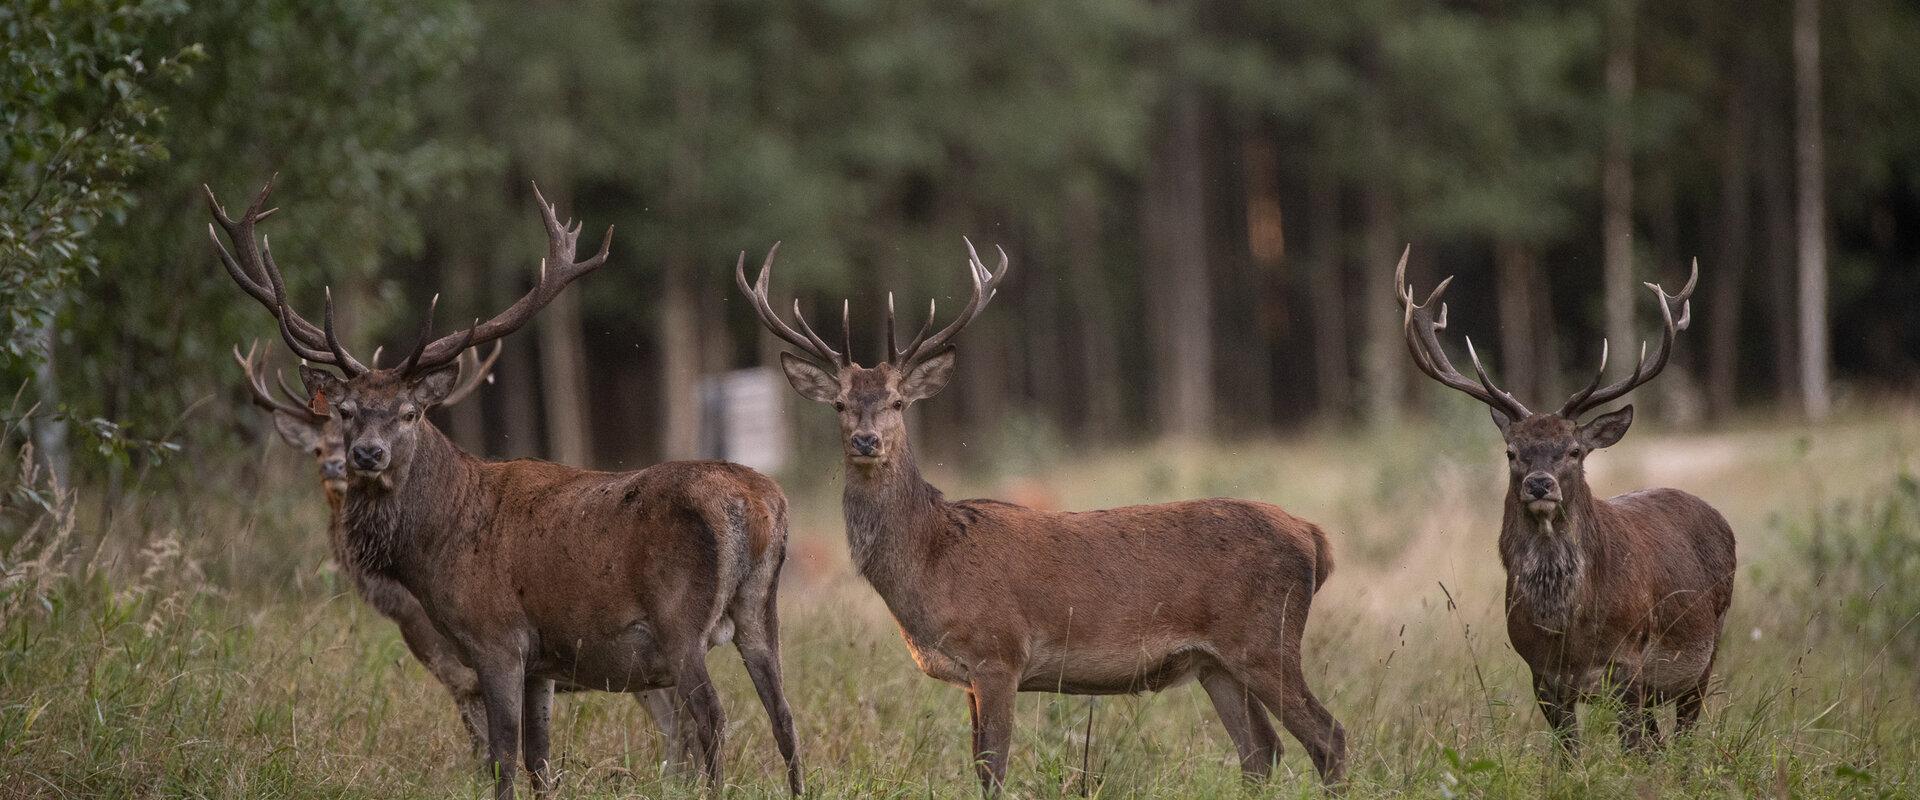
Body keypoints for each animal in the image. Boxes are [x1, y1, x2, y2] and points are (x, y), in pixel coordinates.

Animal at [232, 341, 698, 767]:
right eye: (317, 446)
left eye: (409, 416)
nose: (341, 463)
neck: (405, 604)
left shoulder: (465, 672)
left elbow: (486, 754)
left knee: (679, 728)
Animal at [733, 241, 1351, 790]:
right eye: (840, 404)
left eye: (898, 403)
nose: (866, 440)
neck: (931, 561)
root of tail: (1315, 537)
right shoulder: (971, 677)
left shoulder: (999, 653)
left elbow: (993, 771)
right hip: (1215, 663)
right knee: (1260, 751)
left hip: (1265, 641)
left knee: (1329, 737)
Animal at [1397, 251, 1743, 755]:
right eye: (1512, 451)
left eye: (1574, 450)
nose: (1540, 485)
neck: (1570, 634)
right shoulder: (1541, 676)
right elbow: (1570, 755)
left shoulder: (1628, 663)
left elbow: (1631, 750)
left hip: (1707, 650)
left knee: (1680, 737)